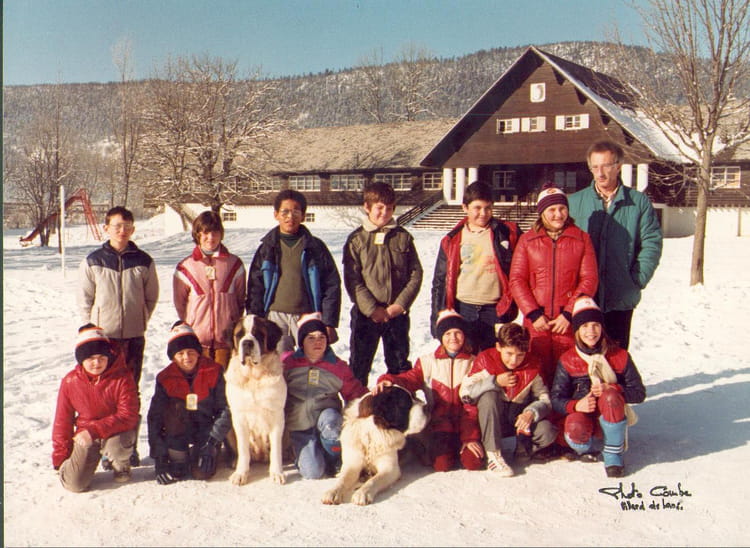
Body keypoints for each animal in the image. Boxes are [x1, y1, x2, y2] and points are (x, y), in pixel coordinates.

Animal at [225, 315, 287, 485]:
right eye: (239, 335)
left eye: (258, 334)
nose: (247, 342)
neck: (253, 377)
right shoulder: (239, 417)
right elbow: (243, 449)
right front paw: (240, 474)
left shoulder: (277, 416)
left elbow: (276, 449)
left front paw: (277, 473)